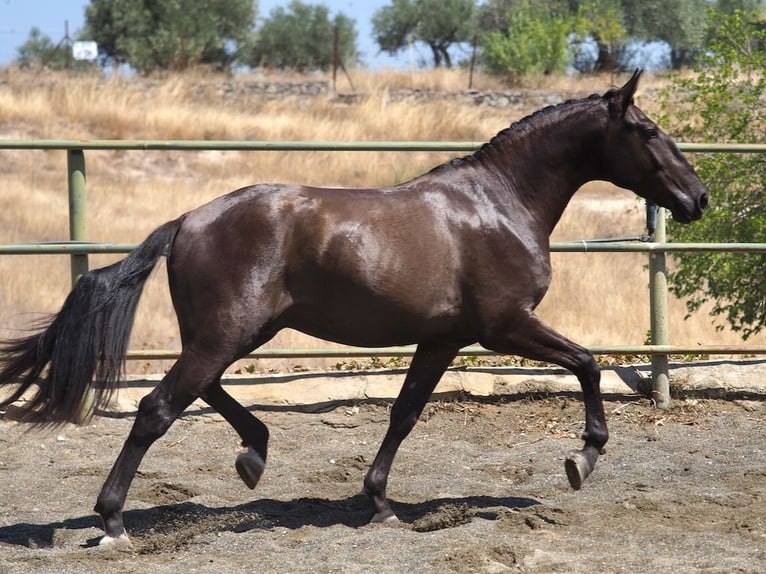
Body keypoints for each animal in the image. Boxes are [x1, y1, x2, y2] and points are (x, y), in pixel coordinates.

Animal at [0, 70, 708, 548]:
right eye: (648, 132)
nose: (697, 198)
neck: (501, 204)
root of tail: (186, 221)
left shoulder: (442, 339)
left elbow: (405, 412)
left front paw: (380, 503)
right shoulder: (504, 328)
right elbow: (588, 364)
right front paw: (581, 459)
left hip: (235, 332)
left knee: (201, 392)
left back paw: (254, 455)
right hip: (227, 333)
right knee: (157, 408)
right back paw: (114, 520)